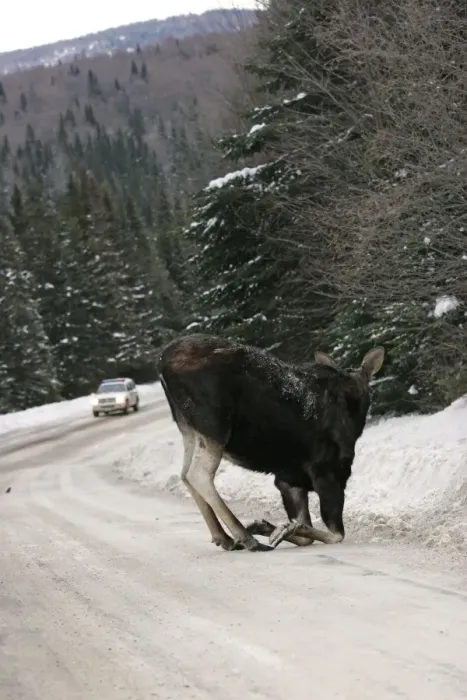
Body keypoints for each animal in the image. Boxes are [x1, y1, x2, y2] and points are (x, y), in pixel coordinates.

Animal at [157, 333, 384, 552]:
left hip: (189, 429)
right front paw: (282, 528)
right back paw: (246, 538)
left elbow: (305, 535)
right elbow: (336, 534)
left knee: (184, 474)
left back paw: (225, 537)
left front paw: (270, 527)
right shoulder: (328, 471)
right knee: (198, 475)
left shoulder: (289, 478)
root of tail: (161, 364)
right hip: (215, 427)